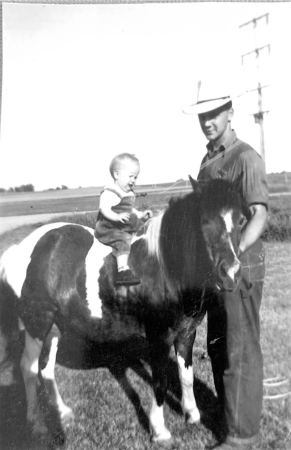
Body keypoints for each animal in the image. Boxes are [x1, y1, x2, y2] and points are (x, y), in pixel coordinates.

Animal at [0, 178, 246, 444]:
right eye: (204, 220)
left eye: (241, 220)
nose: (230, 273)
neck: (166, 267)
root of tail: (20, 248)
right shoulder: (159, 336)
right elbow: (160, 381)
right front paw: (159, 429)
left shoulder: (187, 333)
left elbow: (186, 376)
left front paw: (192, 414)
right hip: (38, 321)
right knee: (29, 367)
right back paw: (37, 425)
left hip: (55, 326)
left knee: (45, 369)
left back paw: (62, 412)